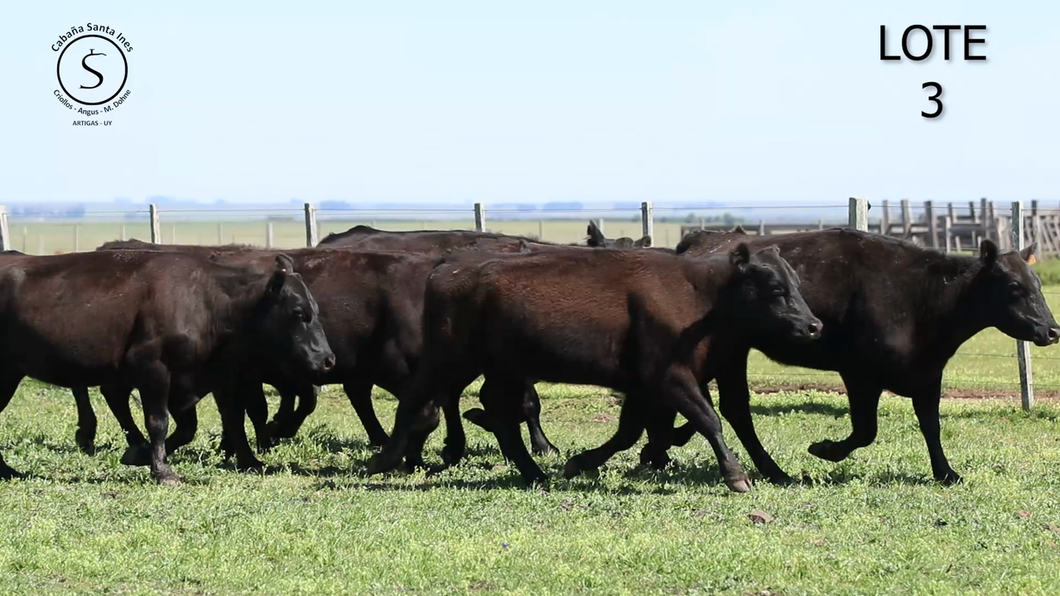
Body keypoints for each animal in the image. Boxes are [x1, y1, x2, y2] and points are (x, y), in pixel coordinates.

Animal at [0, 250, 332, 483]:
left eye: (316, 309)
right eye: (298, 312)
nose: (327, 360)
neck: (208, 303)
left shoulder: (190, 382)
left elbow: (196, 427)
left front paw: (141, 456)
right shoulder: (153, 369)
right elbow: (158, 422)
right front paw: (161, 470)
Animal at [368, 243, 822, 489]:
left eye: (797, 284)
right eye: (775, 288)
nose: (814, 325)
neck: (703, 296)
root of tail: (447, 267)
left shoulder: (645, 385)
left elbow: (629, 432)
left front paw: (580, 462)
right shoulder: (670, 375)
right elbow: (708, 420)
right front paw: (736, 475)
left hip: (500, 368)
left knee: (498, 413)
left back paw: (535, 473)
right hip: (450, 357)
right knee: (416, 398)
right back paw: (383, 459)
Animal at [635, 226, 1060, 483]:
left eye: (1038, 283)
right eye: (1014, 287)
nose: (1053, 329)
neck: (924, 297)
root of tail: (704, 238)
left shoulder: (928, 372)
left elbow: (931, 426)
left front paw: (945, 472)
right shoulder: (859, 372)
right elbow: (865, 430)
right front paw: (825, 450)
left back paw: (662, 449)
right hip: (730, 351)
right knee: (735, 408)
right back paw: (772, 470)